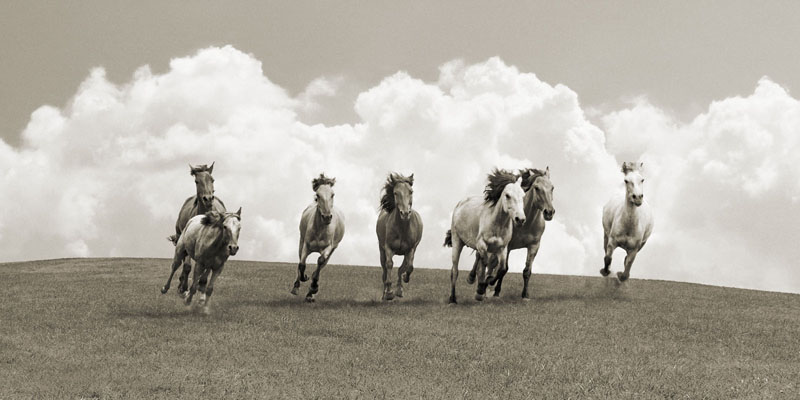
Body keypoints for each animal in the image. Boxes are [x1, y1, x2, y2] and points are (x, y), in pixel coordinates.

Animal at [166, 162, 227, 296]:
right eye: (196, 181)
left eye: (212, 180)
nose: (208, 199)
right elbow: (187, 266)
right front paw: (183, 286)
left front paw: (200, 284)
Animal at [292, 173, 346, 302]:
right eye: (317, 195)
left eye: (332, 194)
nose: (327, 217)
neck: (320, 230)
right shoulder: (306, 245)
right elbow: (302, 264)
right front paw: (305, 278)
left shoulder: (328, 248)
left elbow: (320, 261)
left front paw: (313, 287)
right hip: (301, 241)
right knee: (300, 261)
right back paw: (296, 286)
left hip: (333, 249)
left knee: (322, 264)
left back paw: (310, 293)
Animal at [376, 172, 424, 300]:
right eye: (395, 193)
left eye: (411, 191)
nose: (405, 213)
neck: (402, 228)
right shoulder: (388, 248)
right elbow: (389, 265)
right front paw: (389, 293)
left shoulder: (410, 249)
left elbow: (409, 267)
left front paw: (404, 279)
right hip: (381, 250)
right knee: (384, 270)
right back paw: (384, 293)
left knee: (403, 267)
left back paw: (399, 290)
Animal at [444, 168, 524, 304]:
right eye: (507, 195)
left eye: (523, 195)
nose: (520, 219)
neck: (497, 223)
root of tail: (460, 204)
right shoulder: (482, 244)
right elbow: (485, 263)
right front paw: (481, 288)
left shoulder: (502, 248)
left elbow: (502, 269)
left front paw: (488, 282)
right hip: (457, 241)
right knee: (454, 271)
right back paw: (453, 299)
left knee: (479, 261)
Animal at [468, 167, 556, 298]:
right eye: (536, 188)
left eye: (552, 188)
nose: (549, 212)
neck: (526, 224)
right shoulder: (507, 246)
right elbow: (504, 269)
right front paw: (494, 289)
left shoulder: (534, 246)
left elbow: (526, 271)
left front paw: (525, 295)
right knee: (481, 258)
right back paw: (474, 279)